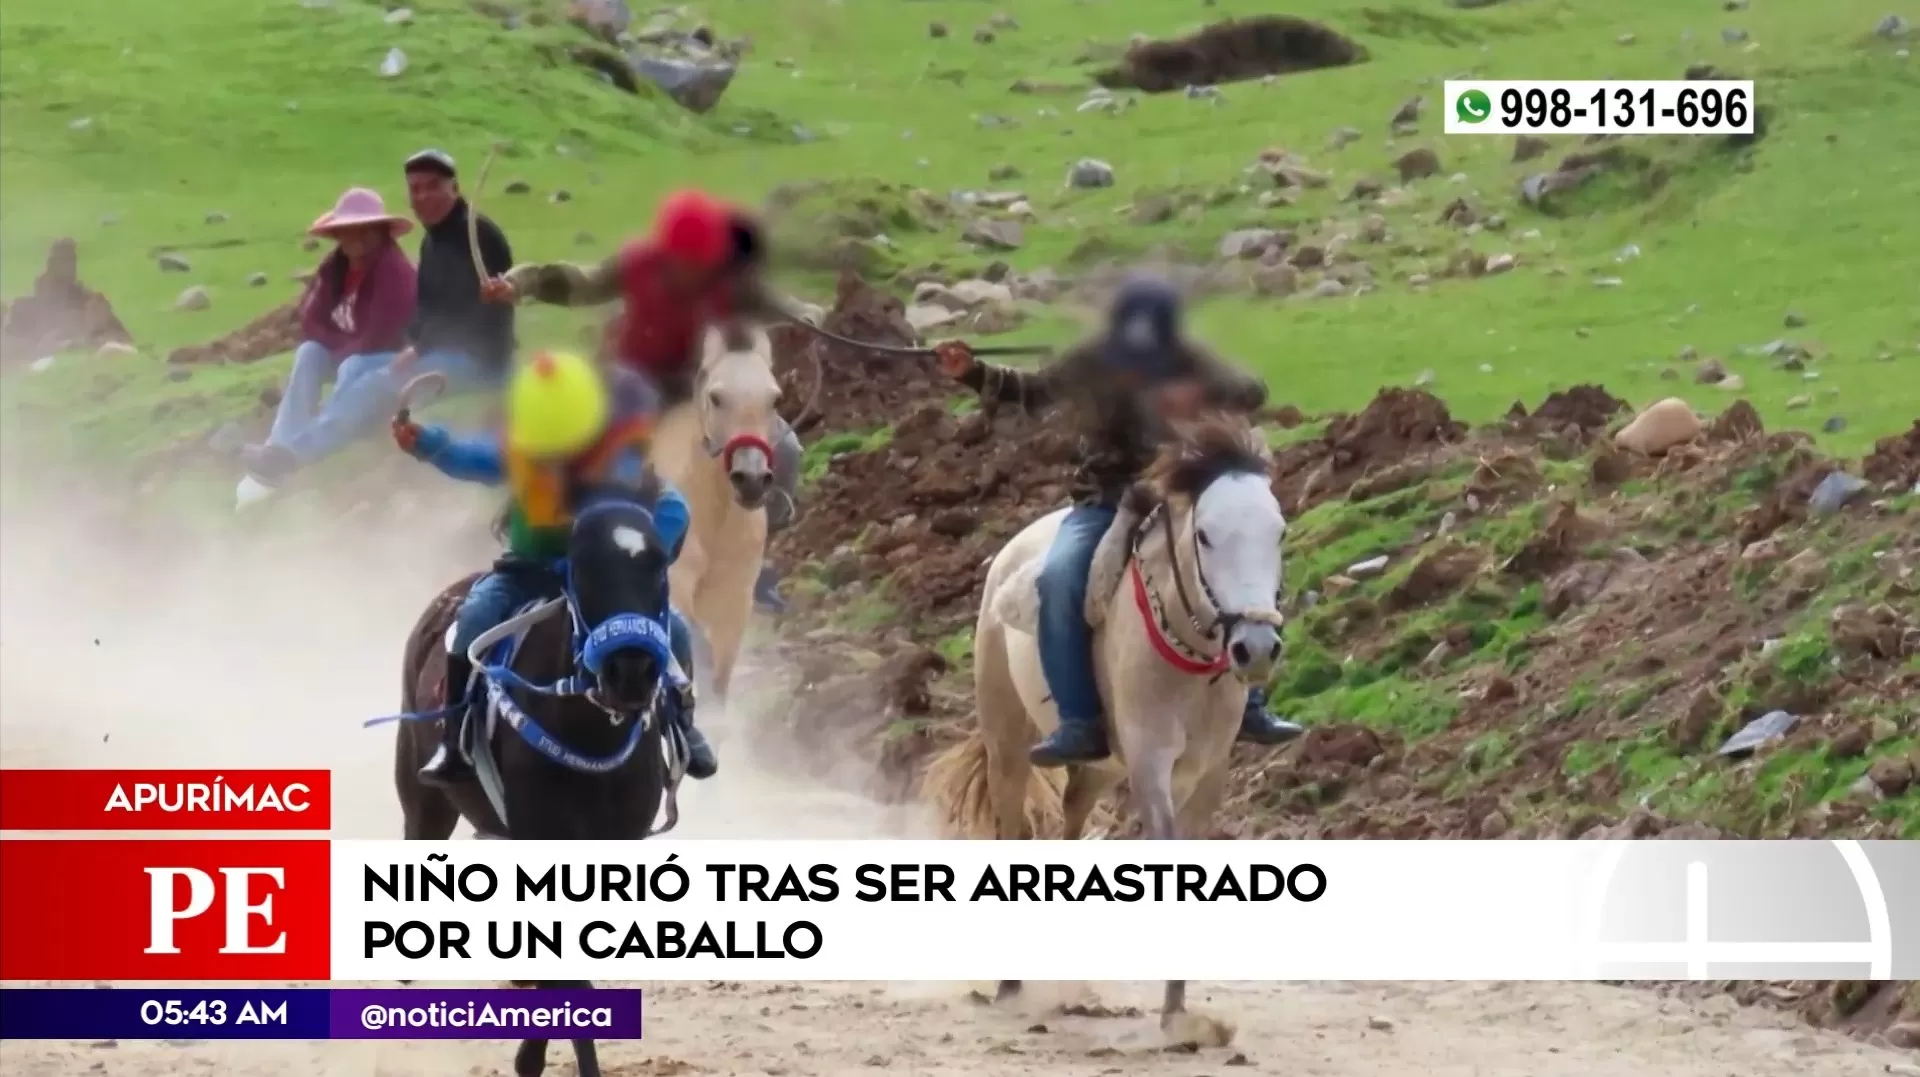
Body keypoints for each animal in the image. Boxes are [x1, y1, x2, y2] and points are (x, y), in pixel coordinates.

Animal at [389, 499, 691, 1075]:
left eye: (659, 568)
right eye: (583, 568)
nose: (632, 671)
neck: (588, 732)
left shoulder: (615, 841)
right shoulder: (543, 831)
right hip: (425, 801)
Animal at [648, 320, 783, 706]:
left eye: (775, 399)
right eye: (717, 397)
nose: (751, 479)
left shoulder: (734, 601)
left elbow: (718, 679)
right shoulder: (676, 585)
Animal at [917, 412, 1282, 1044]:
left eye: (1278, 533)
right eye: (1206, 536)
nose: (1255, 647)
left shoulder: (1209, 769)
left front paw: (1179, 1008)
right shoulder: (1149, 760)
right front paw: (1174, 1012)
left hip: (1097, 766)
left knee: (1070, 820)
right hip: (1008, 742)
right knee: (1012, 831)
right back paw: (1009, 985)